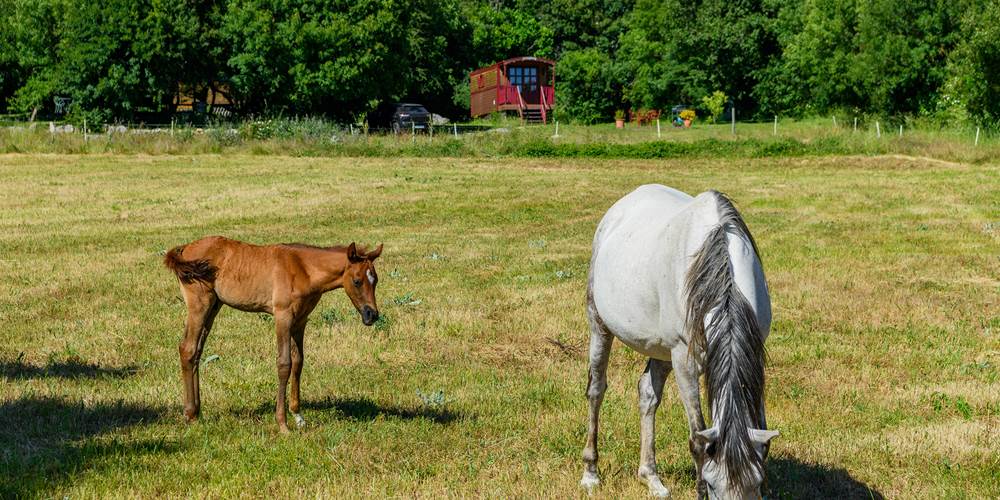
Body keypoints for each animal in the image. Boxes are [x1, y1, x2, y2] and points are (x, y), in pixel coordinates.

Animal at [163, 236, 383, 433]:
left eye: (376, 280)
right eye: (357, 281)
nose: (372, 315)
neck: (304, 269)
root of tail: (185, 248)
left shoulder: (300, 321)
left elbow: (298, 361)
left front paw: (298, 416)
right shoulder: (282, 317)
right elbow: (284, 364)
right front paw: (283, 424)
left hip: (214, 307)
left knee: (197, 351)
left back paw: (196, 411)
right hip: (199, 306)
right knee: (187, 349)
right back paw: (190, 415)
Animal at [580, 185, 778, 499]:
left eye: (757, 484)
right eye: (712, 485)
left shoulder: (754, 356)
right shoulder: (685, 362)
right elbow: (698, 439)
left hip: (661, 349)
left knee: (647, 395)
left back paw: (651, 478)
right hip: (599, 324)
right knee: (596, 390)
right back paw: (590, 473)